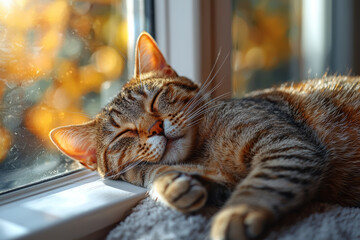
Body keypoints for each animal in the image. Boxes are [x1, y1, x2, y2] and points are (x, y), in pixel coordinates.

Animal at [50, 31, 360, 240]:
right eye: (123, 134)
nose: (156, 128)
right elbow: (152, 172)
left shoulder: (286, 144)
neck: (203, 152)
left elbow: (262, 183)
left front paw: (237, 214)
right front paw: (170, 182)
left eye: (156, 99)